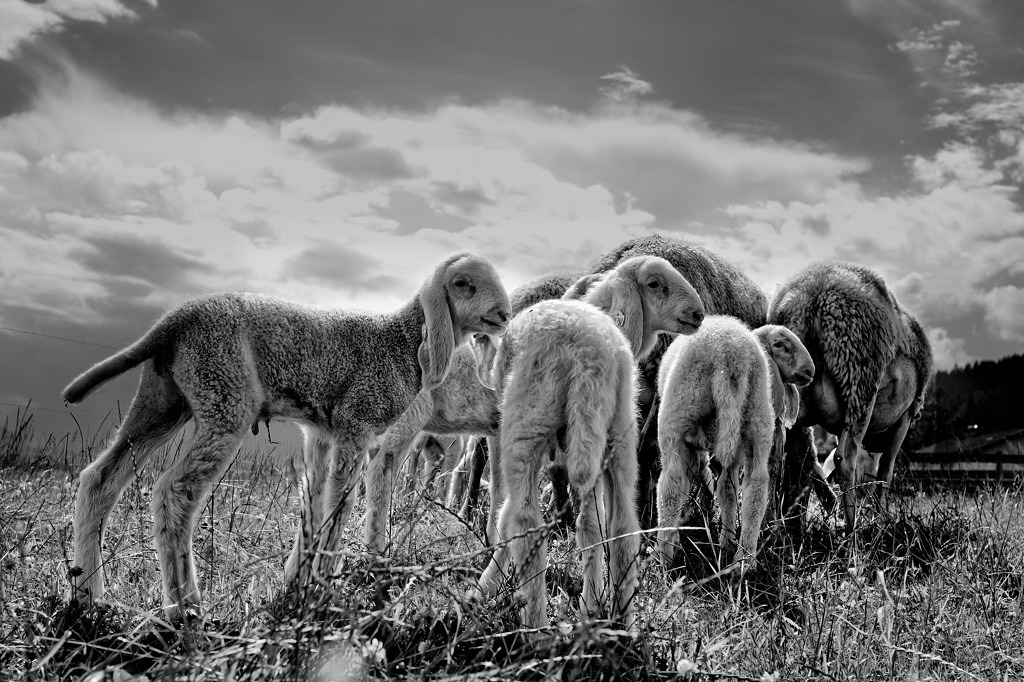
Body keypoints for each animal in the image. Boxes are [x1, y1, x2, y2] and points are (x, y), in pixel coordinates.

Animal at [62, 253, 511, 617]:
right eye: (462, 283)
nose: (506, 314)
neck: (397, 340)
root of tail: (172, 322)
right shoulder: (356, 423)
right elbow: (340, 505)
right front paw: (323, 587)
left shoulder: (323, 433)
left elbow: (314, 504)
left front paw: (299, 583)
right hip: (224, 396)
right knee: (174, 491)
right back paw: (186, 609)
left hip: (163, 398)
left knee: (100, 479)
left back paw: (88, 596)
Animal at [768, 261, 934, 532]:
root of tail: (809, 296)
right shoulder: (906, 416)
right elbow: (885, 472)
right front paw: (880, 518)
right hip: (859, 378)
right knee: (845, 459)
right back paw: (851, 530)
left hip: (794, 390)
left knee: (779, 456)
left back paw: (776, 528)